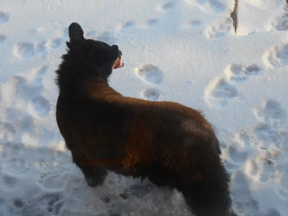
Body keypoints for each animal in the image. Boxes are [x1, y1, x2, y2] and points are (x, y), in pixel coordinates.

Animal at [55, 22, 236, 216]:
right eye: (105, 47)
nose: (118, 48)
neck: (78, 82)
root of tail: (209, 136)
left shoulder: (81, 154)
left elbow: (94, 176)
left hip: (197, 183)